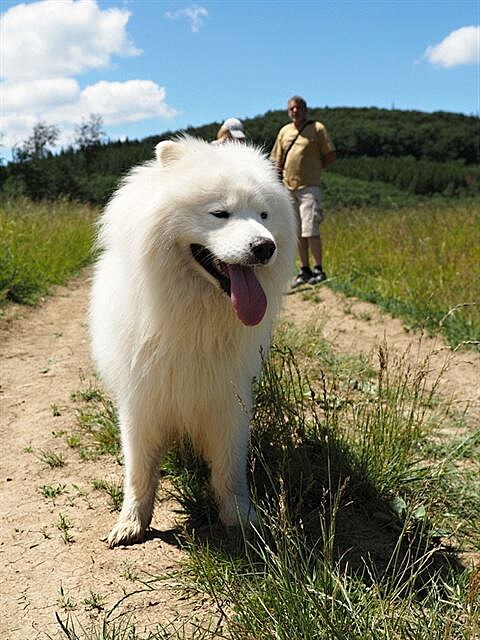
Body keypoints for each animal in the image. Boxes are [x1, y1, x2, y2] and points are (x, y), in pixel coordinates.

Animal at [88, 135, 294, 544]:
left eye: (264, 215)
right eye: (220, 213)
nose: (265, 247)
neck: (194, 318)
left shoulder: (228, 401)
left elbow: (230, 472)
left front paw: (241, 519)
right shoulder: (141, 401)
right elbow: (139, 472)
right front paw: (132, 524)